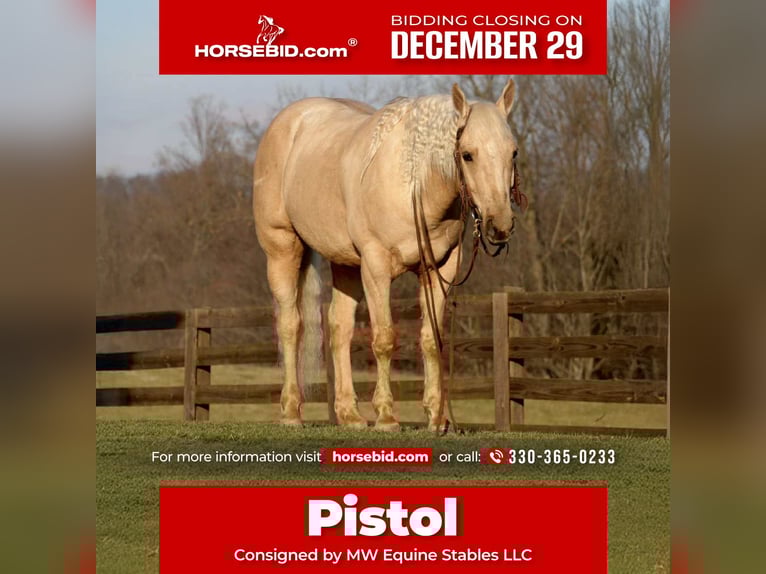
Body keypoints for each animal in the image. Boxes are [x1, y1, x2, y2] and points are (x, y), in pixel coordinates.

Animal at [253, 80, 519, 431]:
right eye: (468, 155)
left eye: (513, 152)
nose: (500, 225)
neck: (414, 184)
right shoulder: (376, 267)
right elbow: (384, 338)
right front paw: (386, 416)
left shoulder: (440, 270)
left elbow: (431, 339)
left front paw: (437, 417)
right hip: (283, 249)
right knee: (290, 325)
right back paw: (291, 412)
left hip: (345, 264)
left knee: (339, 327)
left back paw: (349, 415)